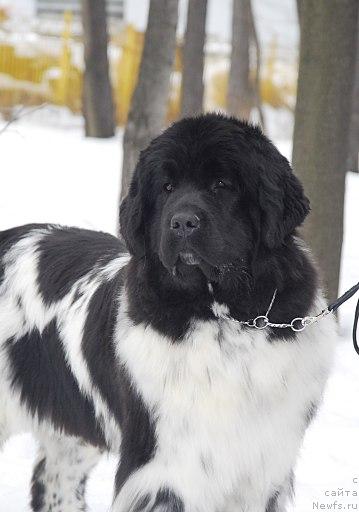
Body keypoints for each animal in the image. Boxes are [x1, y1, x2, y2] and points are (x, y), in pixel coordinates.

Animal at [0, 115, 338, 512]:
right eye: (167, 187)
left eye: (222, 183)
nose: (183, 222)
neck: (224, 316)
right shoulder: (164, 466)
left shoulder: (262, 463)